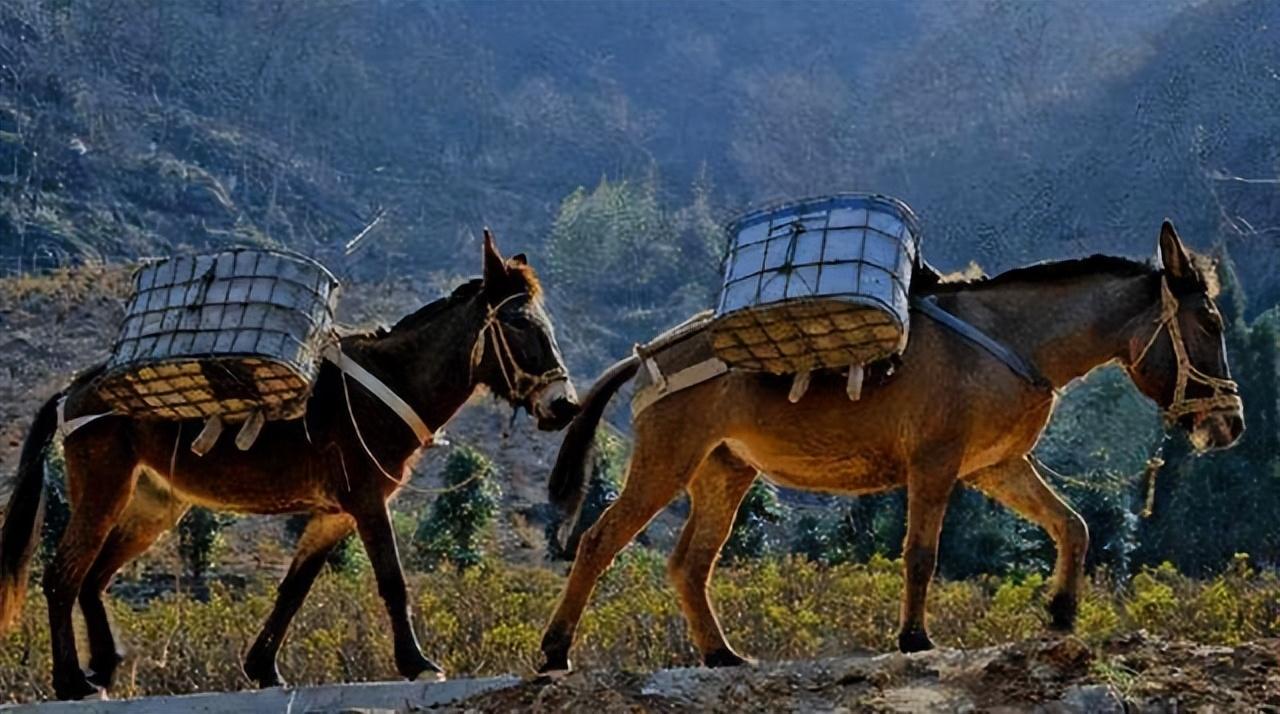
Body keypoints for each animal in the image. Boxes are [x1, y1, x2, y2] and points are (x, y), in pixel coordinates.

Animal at [0, 230, 580, 700]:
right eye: (518, 324)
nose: (565, 406)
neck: (391, 384)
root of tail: (76, 389)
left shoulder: (334, 514)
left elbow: (293, 590)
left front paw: (263, 668)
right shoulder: (366, 502)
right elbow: (392, 580)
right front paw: (417, 663)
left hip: (152, 506)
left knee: (94, 578)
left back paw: (102, 668)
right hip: (104, 490)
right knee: (62, 576)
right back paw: (71, 681)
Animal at [537, 221, 1244, 674]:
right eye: (1210, 321)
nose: (1231, 423)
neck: (1014, 339)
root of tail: (648, 355)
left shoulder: (995, 466)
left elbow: (1072, 525)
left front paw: (1063, 612)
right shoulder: (937, 461)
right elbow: (921, 554)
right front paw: (913, 637)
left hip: (723, 471)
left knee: (690, 564)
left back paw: (720, 654)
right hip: (667, 460)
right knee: (599, 541)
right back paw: (554, 650)